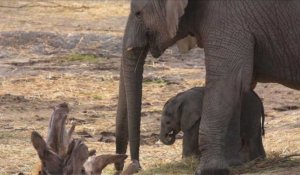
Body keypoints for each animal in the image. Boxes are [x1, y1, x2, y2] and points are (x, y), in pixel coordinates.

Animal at [116, 0, 300, 174]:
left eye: (138, 14)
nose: (133, 167)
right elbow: (237, 89)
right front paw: (233, 164)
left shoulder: (226, 19)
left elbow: (227, 80)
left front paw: (208, 170)